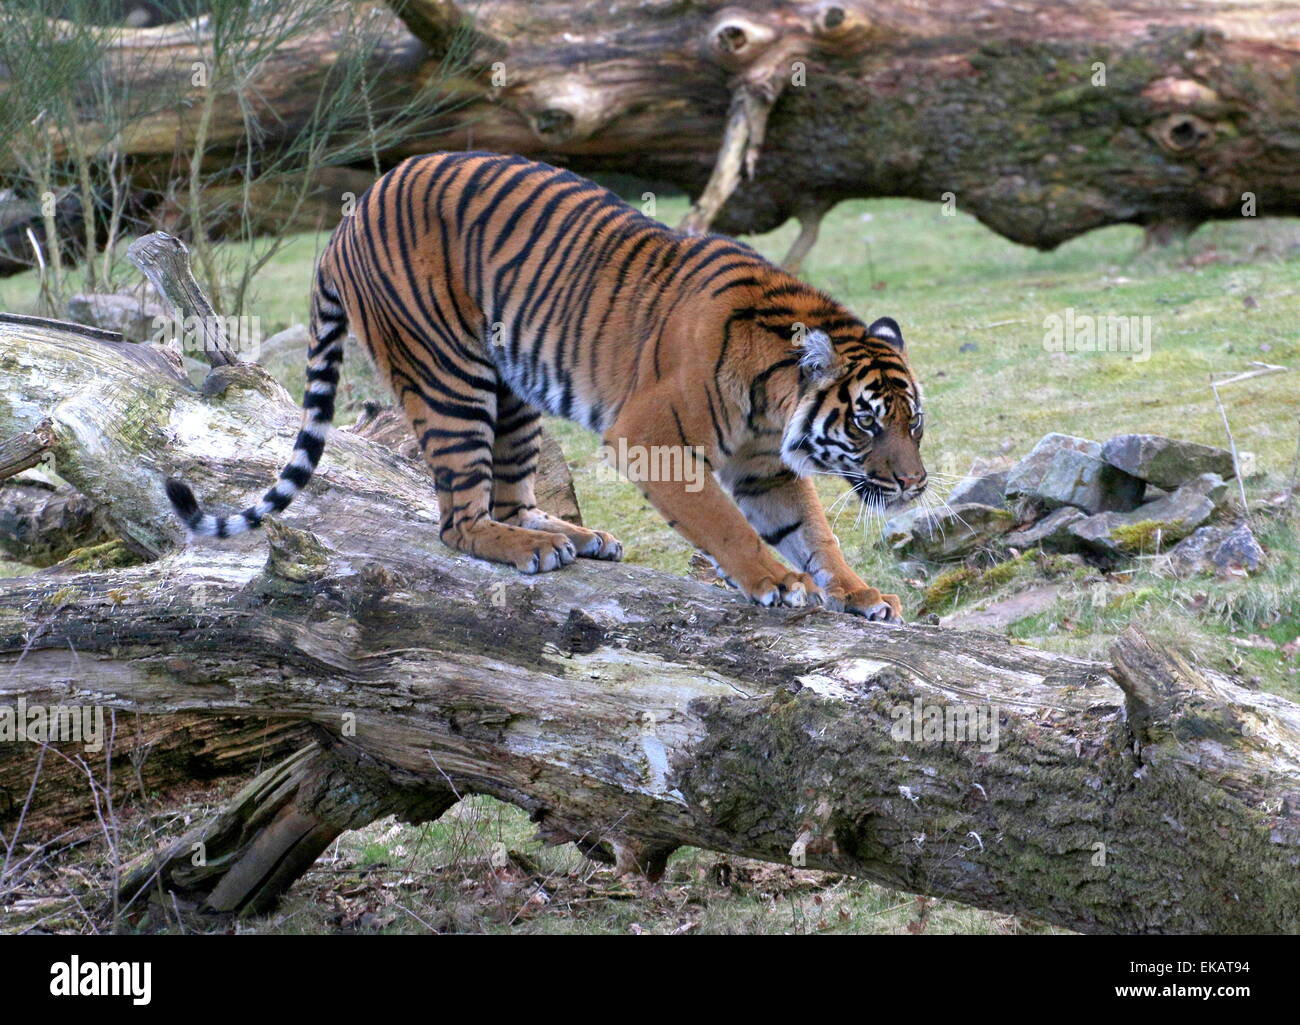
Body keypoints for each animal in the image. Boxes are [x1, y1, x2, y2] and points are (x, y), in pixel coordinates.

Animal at [167, 148, 930, 621]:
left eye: (913, 423)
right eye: (866, 422)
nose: (915, 484)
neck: (773, 399)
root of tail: (345, 223)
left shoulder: (765, 464)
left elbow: (813, 532)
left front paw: (860, 594)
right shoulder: (652, 437)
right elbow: (726, 524)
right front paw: (775, 582)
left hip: (515, 391)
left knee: (509, 496)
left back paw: (570, 536)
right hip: (451, 378)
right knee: (459, 520)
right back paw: (524, 549)